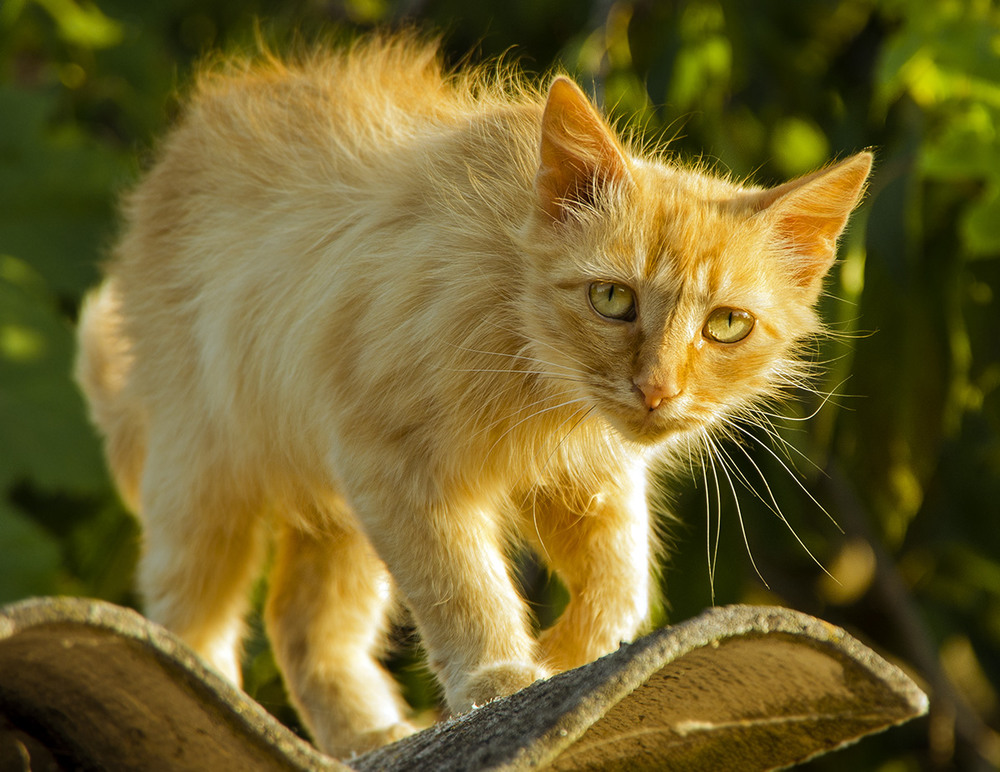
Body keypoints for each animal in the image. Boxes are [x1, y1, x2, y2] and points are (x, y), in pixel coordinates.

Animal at [78, 33, 872, 756]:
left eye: (727, 325)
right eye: (613, 299)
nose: (657, 390)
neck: (537, 380)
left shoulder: (591, 477)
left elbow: (620, 583)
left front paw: (567, 655)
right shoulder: (397, 469)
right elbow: (465, 586)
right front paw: (501, 675)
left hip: (335, 517)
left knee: (304, 628)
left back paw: (367, 735)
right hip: (207, 481)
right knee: (190, 621)